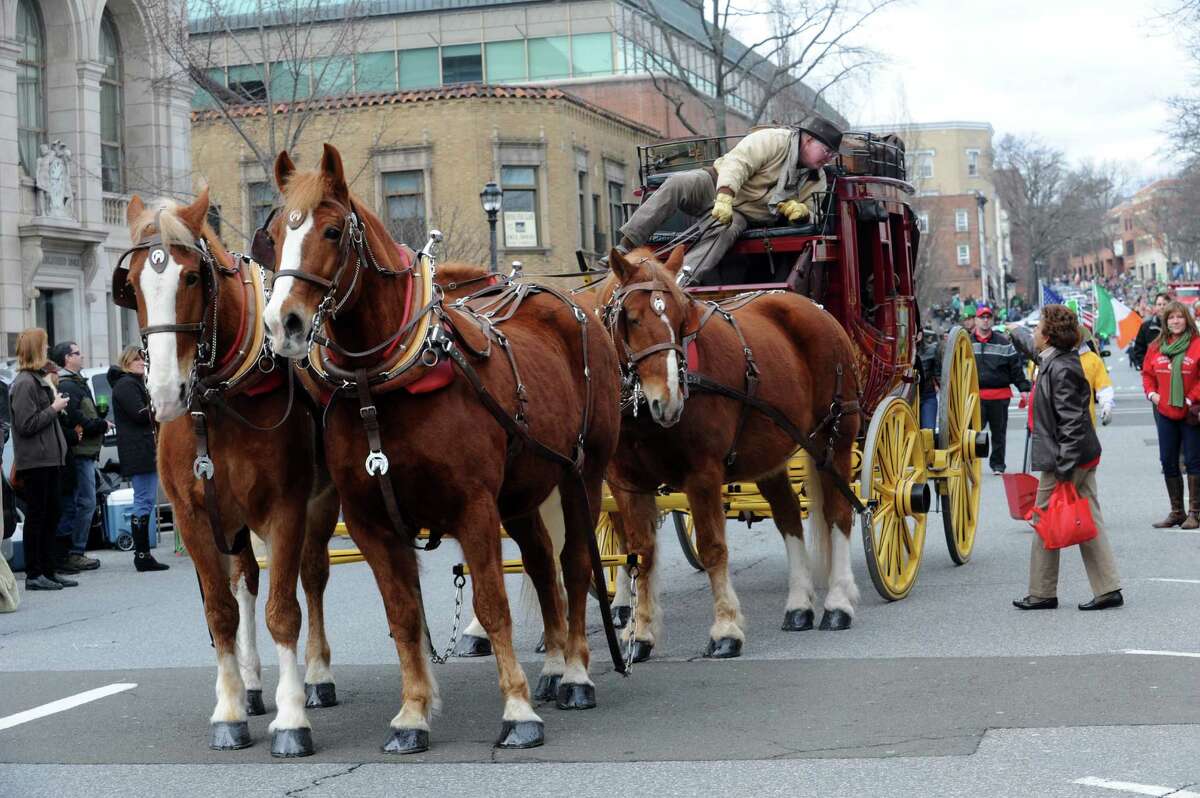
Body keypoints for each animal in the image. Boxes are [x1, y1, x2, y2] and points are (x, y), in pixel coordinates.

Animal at [112, 189, 340, 758]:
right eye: (132, 286)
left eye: (193, 278)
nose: (164, 392)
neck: (216, 402)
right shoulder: (195, 517)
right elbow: (221, 613)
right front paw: (232, 707)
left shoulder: (285, 508)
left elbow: (284, 611)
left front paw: (292, 718)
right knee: (245, 582)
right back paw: (255, 685)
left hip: (320, 505)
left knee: (312, 577)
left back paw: (317, 676)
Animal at [259, 144, 624, 753]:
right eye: (272, 234)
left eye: (332, 230)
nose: (281, 322)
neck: (378, 389)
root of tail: (570, 303)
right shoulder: (372, 522)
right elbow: (404, 616)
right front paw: (412, 715)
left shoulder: (473, 508)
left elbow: (492, 606)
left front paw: (518, 711)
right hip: (521, 492)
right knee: (541, 562)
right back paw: (553, 666)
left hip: (582, 475)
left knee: (574, 565)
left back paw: (574, 672)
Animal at [600, 247, 864, 657]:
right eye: (631, 318)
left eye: (681, 317)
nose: (668, 400)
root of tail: (815, 308)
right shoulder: (627, 483)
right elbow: (641, 554)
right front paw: (639, 634)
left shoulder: (702, 475)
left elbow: (712, 548)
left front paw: (725, 629)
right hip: (771, 453)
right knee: (789, 516)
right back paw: (799, 606)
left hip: (833, 437)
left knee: (838, 513)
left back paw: (837, 603)